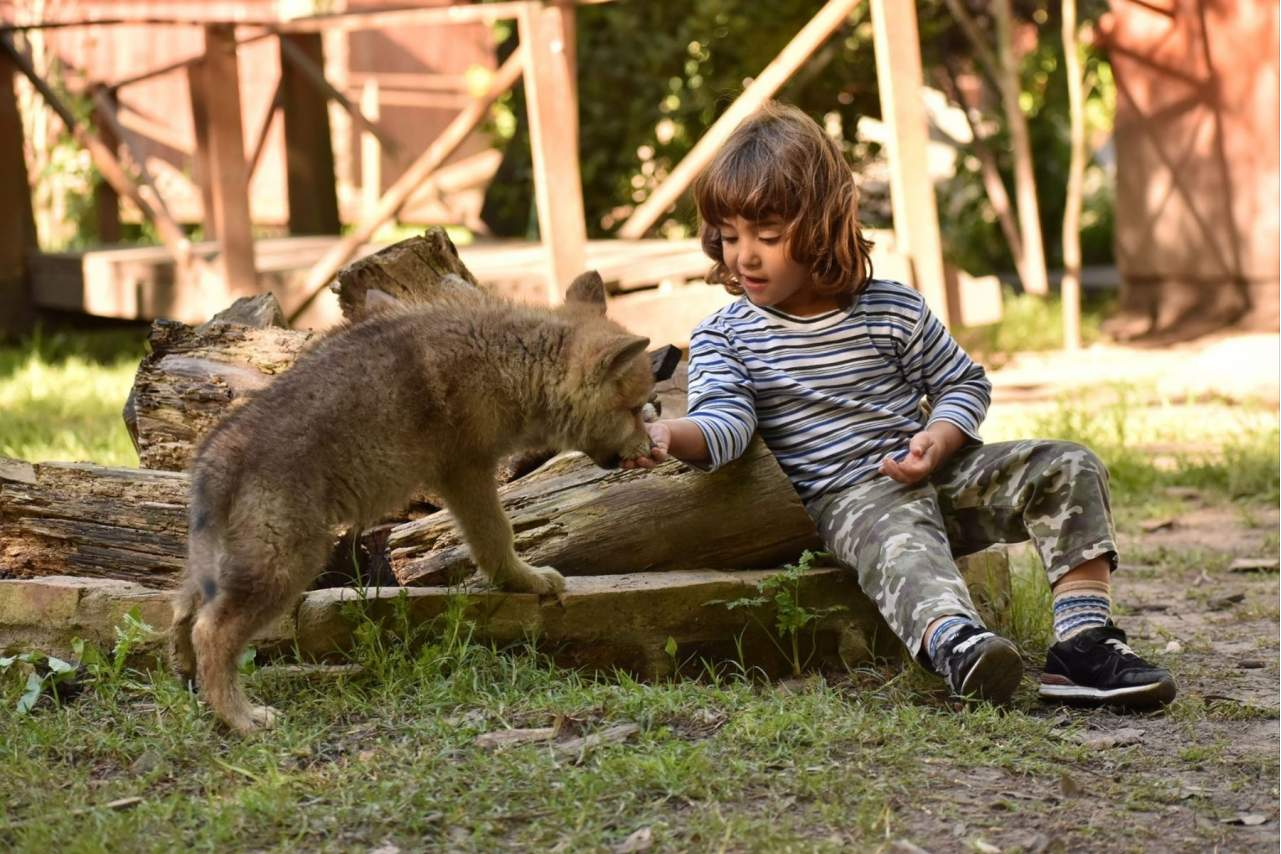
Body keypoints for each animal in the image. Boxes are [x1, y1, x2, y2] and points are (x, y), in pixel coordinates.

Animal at [169, 273, 654, 733]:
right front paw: (527, 581)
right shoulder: (468, 472)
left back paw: (192, 686)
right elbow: (498, 538)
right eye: (634, 409)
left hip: (221, 568)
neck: (513, 360)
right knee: (212, 632)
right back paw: (242, 719)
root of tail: (215, 458)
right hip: (287, 565)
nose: (650, 447)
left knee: (183, 617)